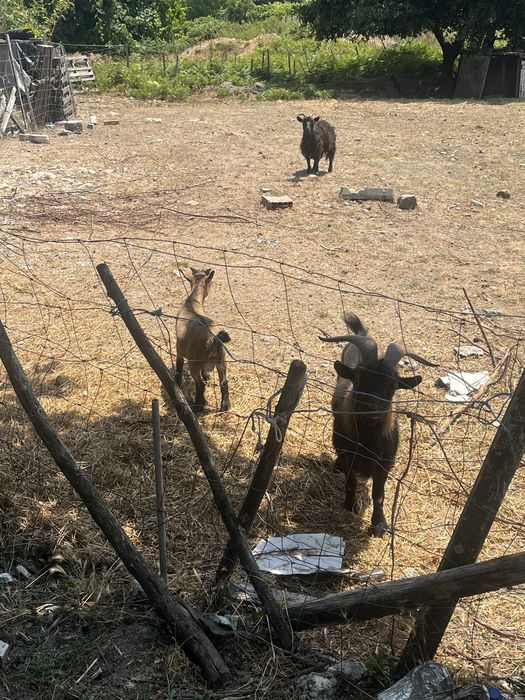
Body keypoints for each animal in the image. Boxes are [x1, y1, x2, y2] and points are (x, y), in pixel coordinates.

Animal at [175, 267, 230, 412]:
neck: (192, 303)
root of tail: (213, 339)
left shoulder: (179, 350)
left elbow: (179, 367)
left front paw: (176, 382)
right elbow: (205, 373)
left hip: (194, 362)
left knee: (199, 384)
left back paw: (198, 405)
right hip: (221, 360)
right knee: (224, 381)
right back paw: (225, 406)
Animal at [320, 314, 434, 536]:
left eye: (393, 385)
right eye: (358, 378)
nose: (371, 408)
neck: (368, 441)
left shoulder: (385, 464)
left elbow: (378, 495)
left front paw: (379, 525)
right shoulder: (349, 455)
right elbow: (351, 483)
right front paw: (350, 507)